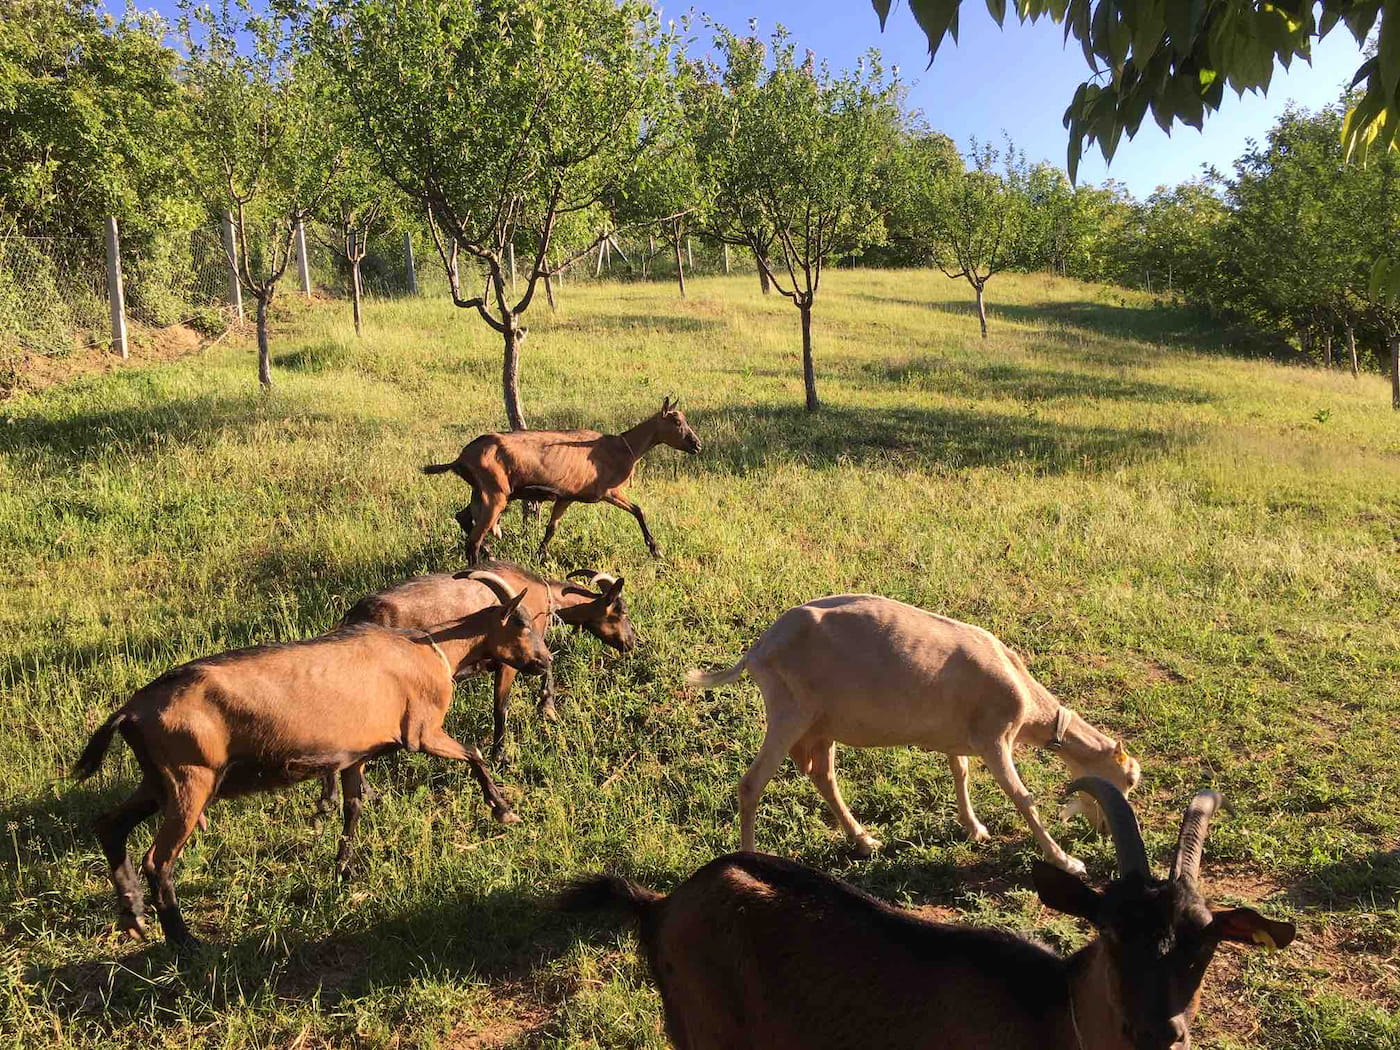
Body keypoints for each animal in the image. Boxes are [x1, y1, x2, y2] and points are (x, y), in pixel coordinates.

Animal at [73, 576, 548, 952]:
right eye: (522, 624)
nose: (545, 661)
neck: (429, 649)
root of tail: (131, 711)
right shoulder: (423, 732)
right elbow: (475, 755)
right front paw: (503, 809)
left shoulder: (358, 754)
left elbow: (353, 807)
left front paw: (344, 869)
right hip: (191, 781)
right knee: (158, 859)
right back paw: (183, 940)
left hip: (158, 781)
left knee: (110, 824)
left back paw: (133, 914)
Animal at [414, 397, 700, 562]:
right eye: (676, 421)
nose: (696, 445)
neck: (623, 447)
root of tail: (461, 458)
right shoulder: (607, 492)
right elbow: (639, 510)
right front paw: (655, 549)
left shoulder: (566, 496)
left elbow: (551, 528)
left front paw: (541, 555)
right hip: (495, 495)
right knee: (472, 539)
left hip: (481, 492)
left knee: (462, 517)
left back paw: (489, 553)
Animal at [686, 596, 1136, 873]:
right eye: (1130, 780)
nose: (1106, 831)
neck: (1021, 689)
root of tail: (759, 648)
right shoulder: (995, 737)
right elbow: (1022, 797)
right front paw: (1066, 861)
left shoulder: (961, 737)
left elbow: (960, 773)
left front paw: (974, 829)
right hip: (789, 713)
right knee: (751, 784)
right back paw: (750, 862)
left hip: (820, 723)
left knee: (822, 775)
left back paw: (864, 841)